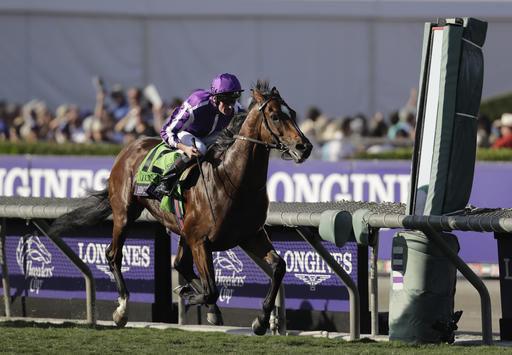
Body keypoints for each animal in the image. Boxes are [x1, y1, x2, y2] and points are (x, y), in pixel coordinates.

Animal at [49, 81, 312, 336]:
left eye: (293, 113)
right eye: (275, 116)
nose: (304, 147)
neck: (233, 180)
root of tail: (131, 146)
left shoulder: (250, 235)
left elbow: (278, 267)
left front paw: (261, 320)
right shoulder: (200, 241)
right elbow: (211, 289)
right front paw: (189, 294)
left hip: (182, 229)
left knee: (179, 264)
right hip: (125, 214)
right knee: (114, 254)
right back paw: (122, 310)